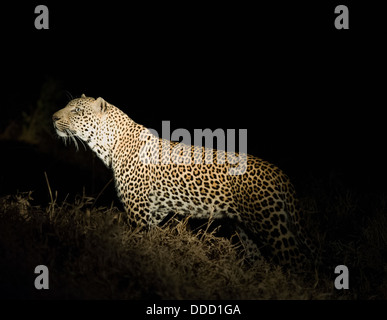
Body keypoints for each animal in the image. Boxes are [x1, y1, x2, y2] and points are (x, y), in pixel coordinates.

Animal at [52, 94, 318, 270]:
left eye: (76, 111)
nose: (53, 118)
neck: (110, 144)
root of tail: (280, 174)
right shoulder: (154, 211)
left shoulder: (138, 211)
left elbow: (136, 244)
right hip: (246, 229)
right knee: (260, 258)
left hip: (272, 224)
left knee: (297, 260)